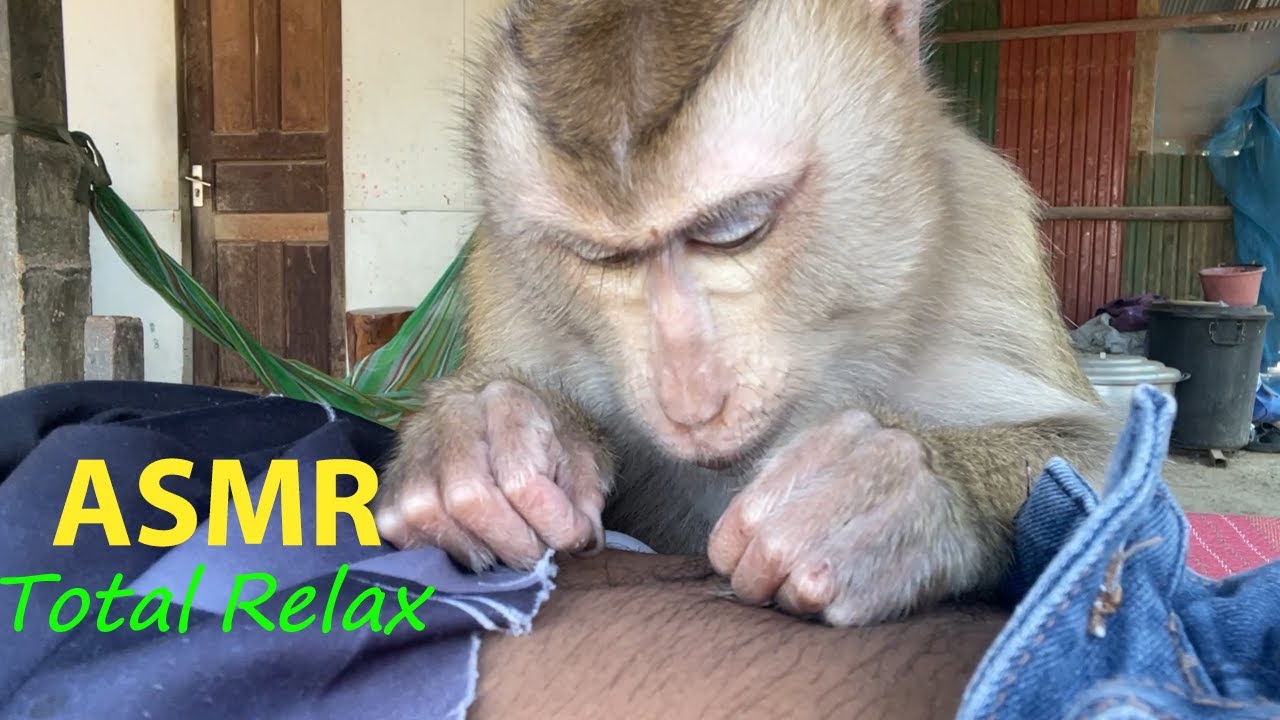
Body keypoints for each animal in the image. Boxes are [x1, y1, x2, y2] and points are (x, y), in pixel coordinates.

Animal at [372, 0, 1118, 627]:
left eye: (735, 228)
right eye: (602, 257)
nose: (691, 404)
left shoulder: (989, 237)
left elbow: (1106, 469)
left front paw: (892, 488)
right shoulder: (501, 272)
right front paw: (480, 439)